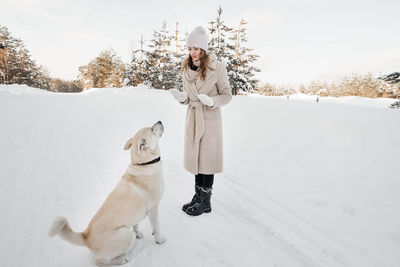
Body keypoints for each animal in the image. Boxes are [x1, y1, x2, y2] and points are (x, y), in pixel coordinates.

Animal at [49, 122, 166, 266]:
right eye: (151, 129)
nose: (159, 121)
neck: (143, 164)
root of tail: (86, 236)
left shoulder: (138, 214)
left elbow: (136, 225)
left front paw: (139, 233)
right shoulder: (153, 208)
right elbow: (157, 227)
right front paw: (159, 240)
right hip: (126, 235)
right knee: (100, 261)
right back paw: (123, 259)